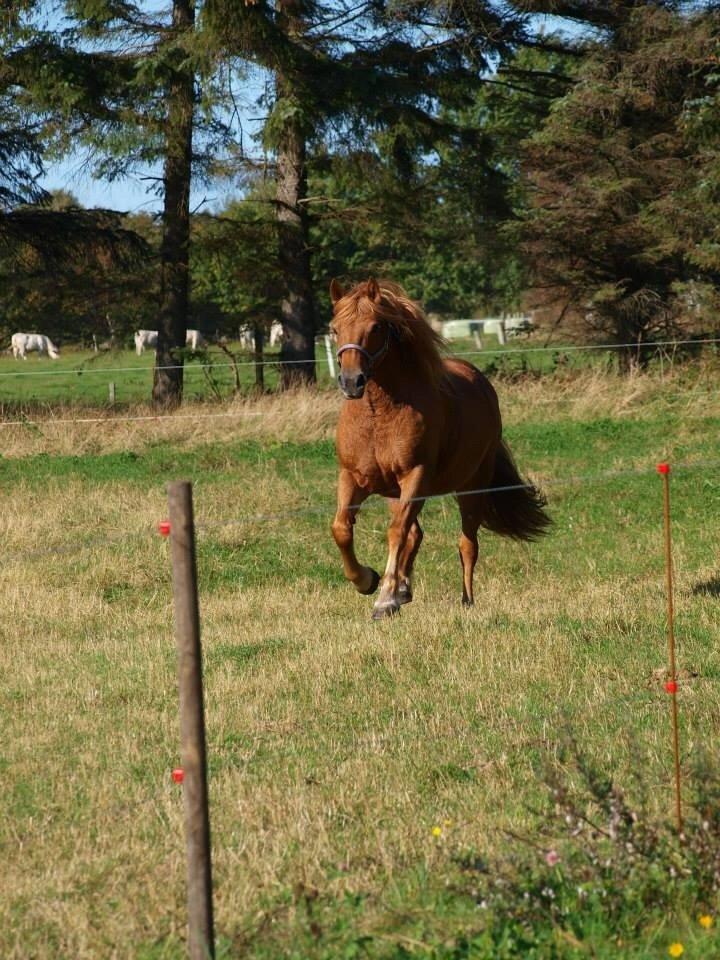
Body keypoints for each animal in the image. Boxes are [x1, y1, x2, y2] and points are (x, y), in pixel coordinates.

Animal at [332, 278, 552, 624]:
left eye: (376, 326)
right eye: (334, 328)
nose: (351, 381)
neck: (379, 416)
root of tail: (481, 383)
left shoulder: (415, 477)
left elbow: (396, 533)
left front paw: (384, 599)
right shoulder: (353, 477)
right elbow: (342, 529)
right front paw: (367, 581)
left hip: (471, 488)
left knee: (467, 545)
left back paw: (465, 600)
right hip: (395, 492)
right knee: (415, 535)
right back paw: (403, 591)